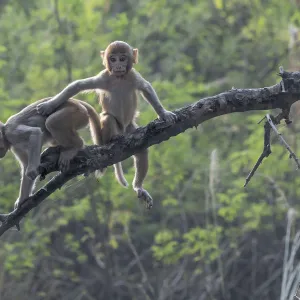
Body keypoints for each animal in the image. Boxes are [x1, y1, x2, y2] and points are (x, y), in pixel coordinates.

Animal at [37, 39, 178, 209]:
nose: (118, 66)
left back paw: (138, 186)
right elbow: (78, 86)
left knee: (141, 151)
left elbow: (146, 88)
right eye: (113, 59)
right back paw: (113, 139)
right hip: (110, 131)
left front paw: (163, 113)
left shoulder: (132, 75)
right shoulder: (104, 77)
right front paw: (49, 105)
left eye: (122, 58)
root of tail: (123, 131)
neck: (119, 78)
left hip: (130, 128)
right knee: (108, 118)